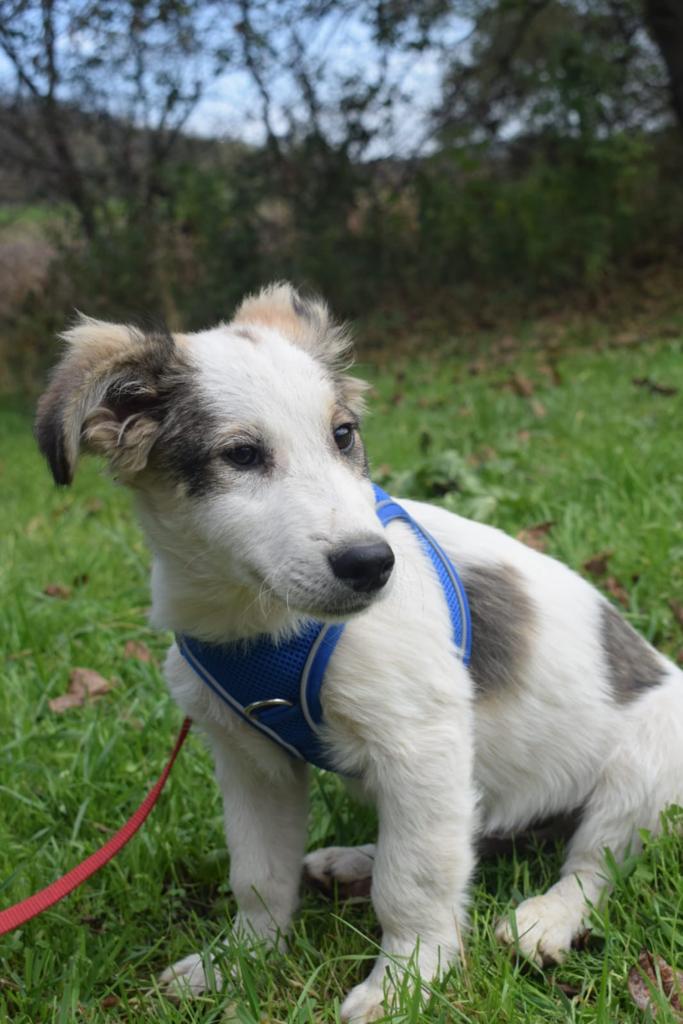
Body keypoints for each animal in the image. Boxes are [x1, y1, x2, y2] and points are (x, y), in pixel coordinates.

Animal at [36, 283, 683, 1022]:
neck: (260, 622)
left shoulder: (420, 743)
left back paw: (546, 917)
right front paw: (239, 962)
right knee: (475, 832)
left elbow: (412, 881)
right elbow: (257, 874)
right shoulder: (250, 759)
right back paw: (353, 859)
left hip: (645, 765)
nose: (373, 565)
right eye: (241, 456)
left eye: (342, 435)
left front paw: (408, 978)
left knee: (593, 863)